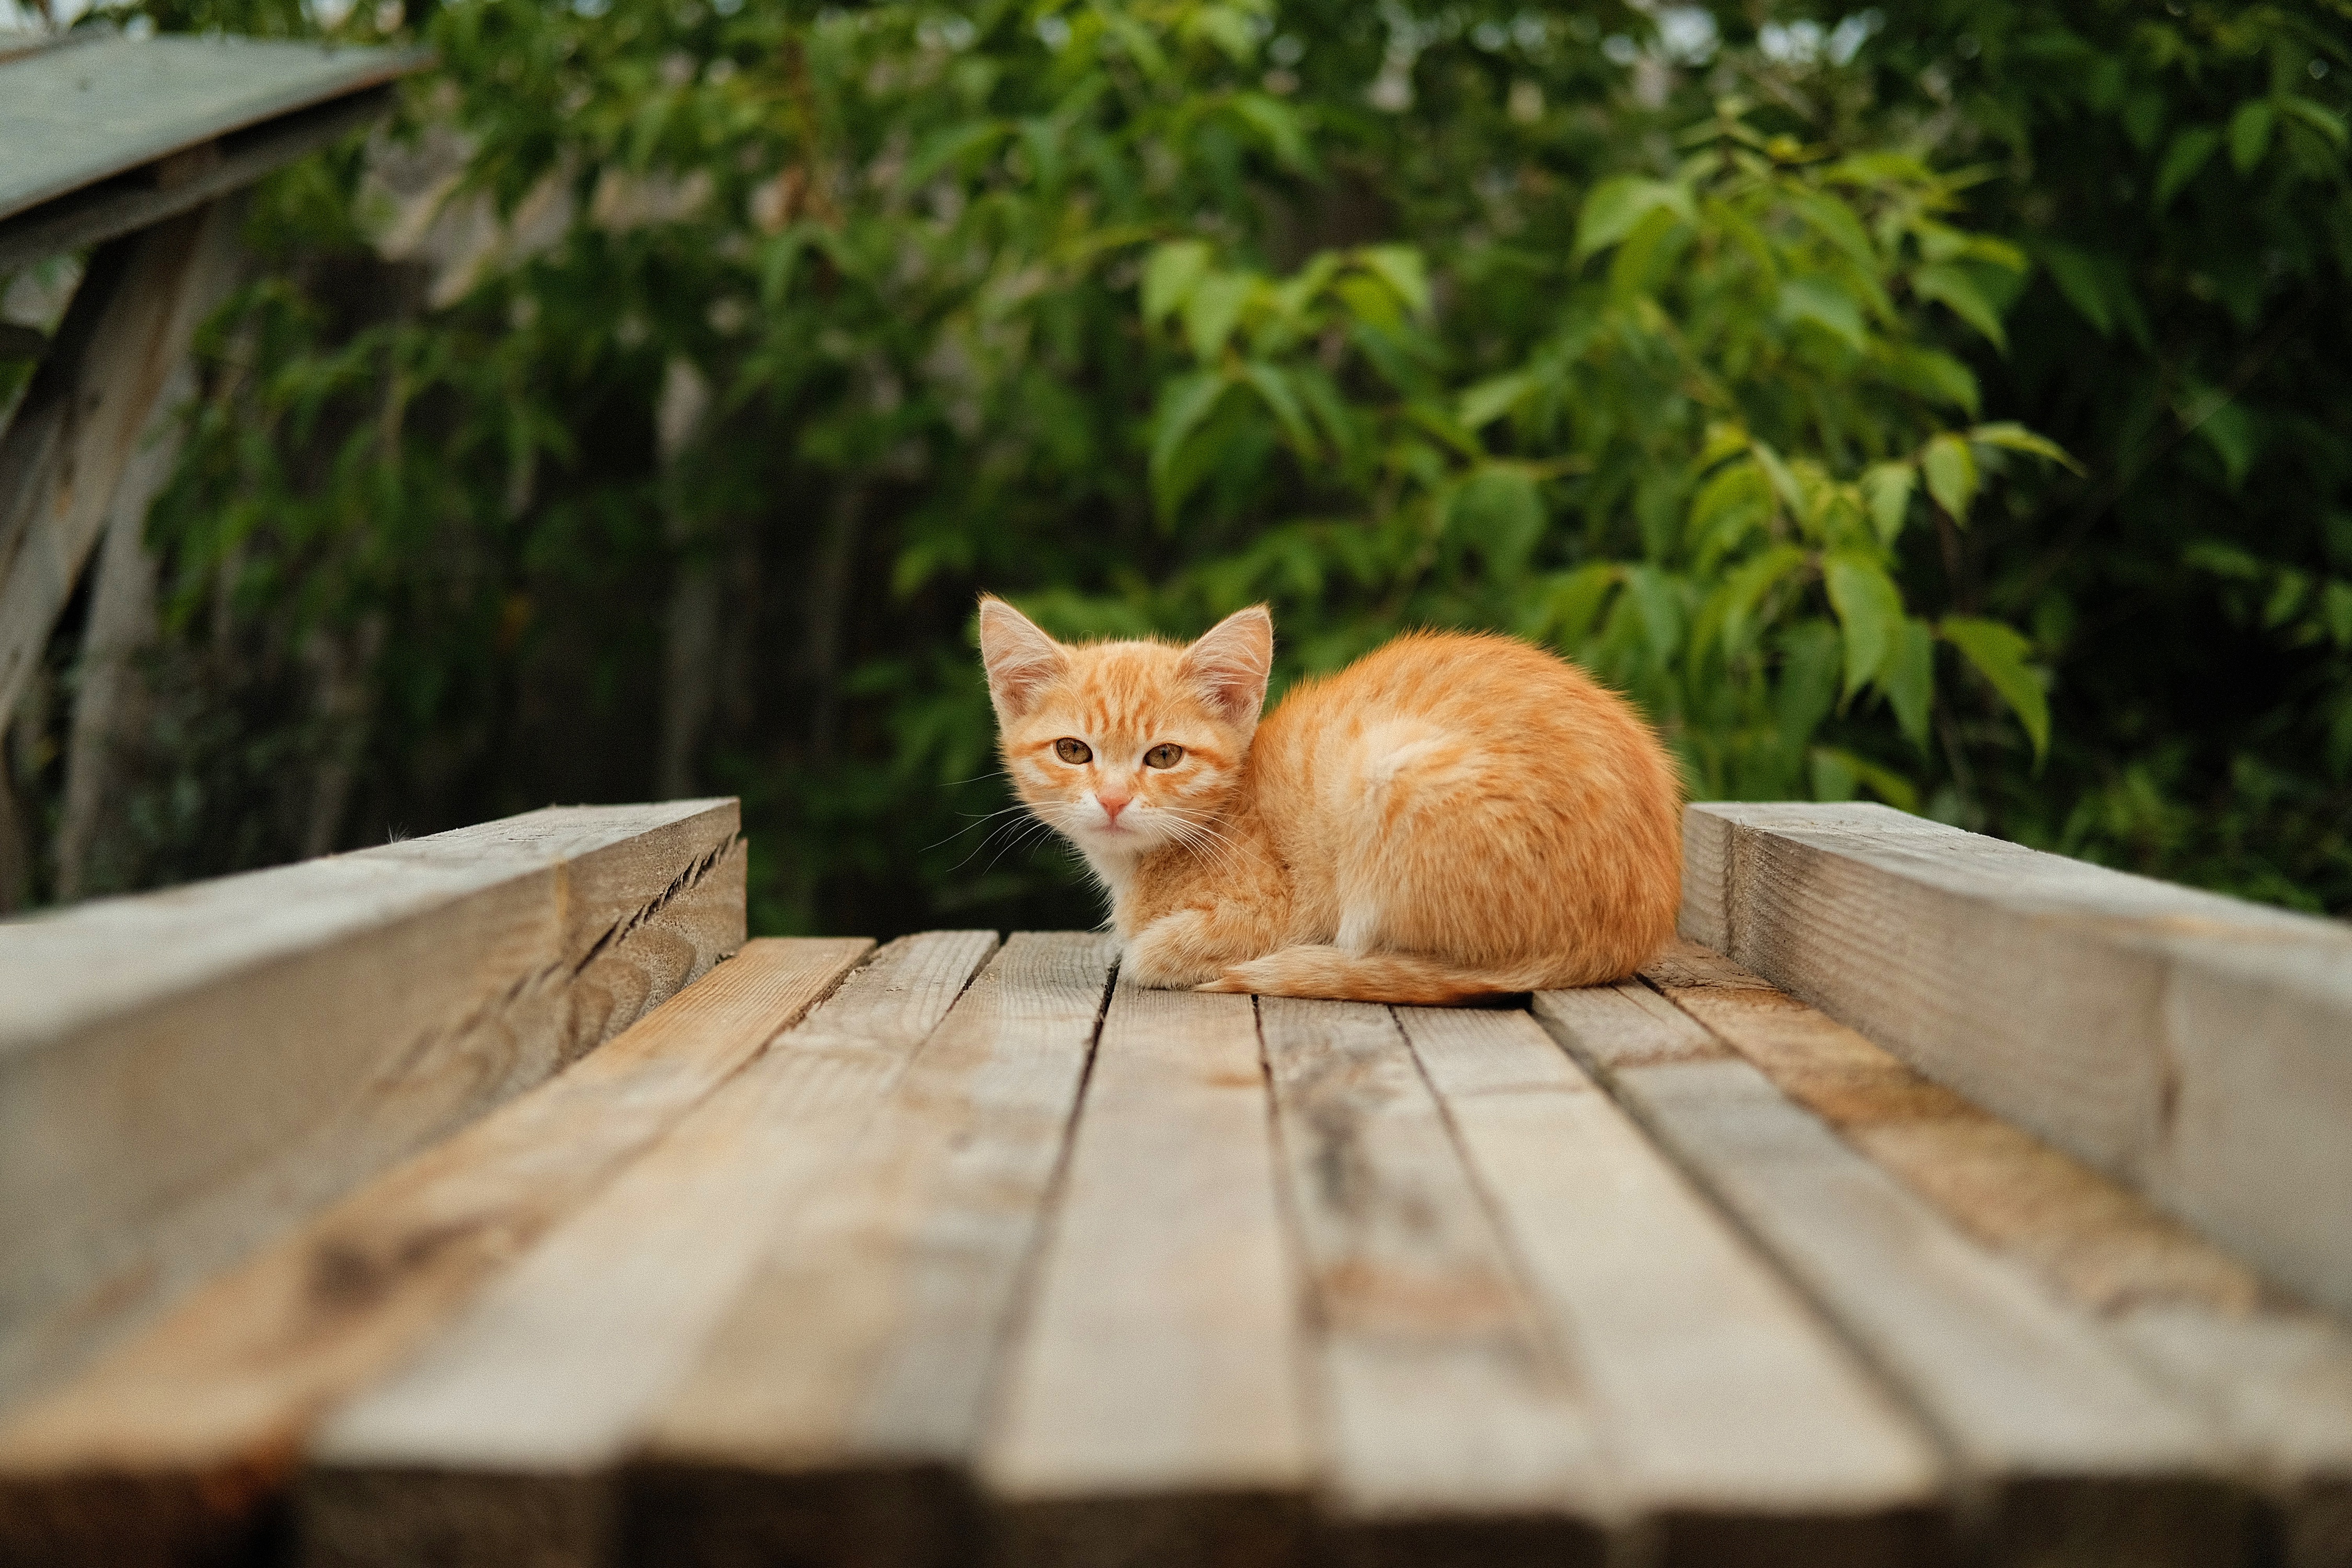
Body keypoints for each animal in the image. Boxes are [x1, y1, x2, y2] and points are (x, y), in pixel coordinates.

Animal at [983, 594, 1684, 1001]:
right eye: (1074, 751)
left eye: (1164, 757)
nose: (1112, 800)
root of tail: (1627, 935)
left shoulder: (1276, 910)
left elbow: (1148, 954)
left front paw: (1147, 951)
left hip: (1389, 772)